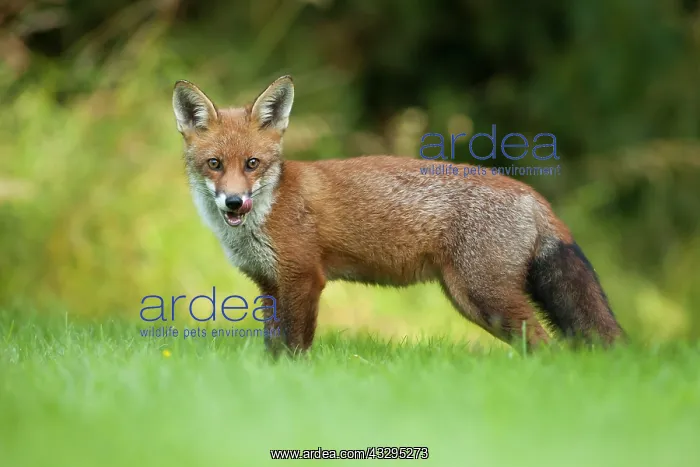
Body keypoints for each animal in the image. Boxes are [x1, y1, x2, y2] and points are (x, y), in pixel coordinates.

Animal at [171, 75, 624, 355]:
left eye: (252, 164)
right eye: (214, 164)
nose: (234, 202)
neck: (267, 210)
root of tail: (534, 195)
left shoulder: (304, 278)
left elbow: (297, 348)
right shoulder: (269, 285)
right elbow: (273, 349)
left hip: (485, 297)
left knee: (546, 346)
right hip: (476, 301)